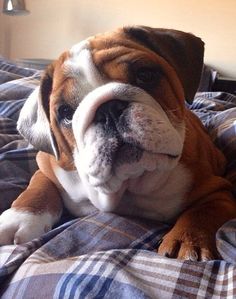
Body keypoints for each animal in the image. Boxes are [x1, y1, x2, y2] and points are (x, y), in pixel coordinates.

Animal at [0, 26, 236, 260]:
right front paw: (20, 218)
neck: (130, 186)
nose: (108, 109)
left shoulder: (218, 190)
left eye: (145, 75)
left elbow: (202, 212)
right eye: (66, 112)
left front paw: (188, 241)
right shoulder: (48, 167)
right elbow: (37, 188)